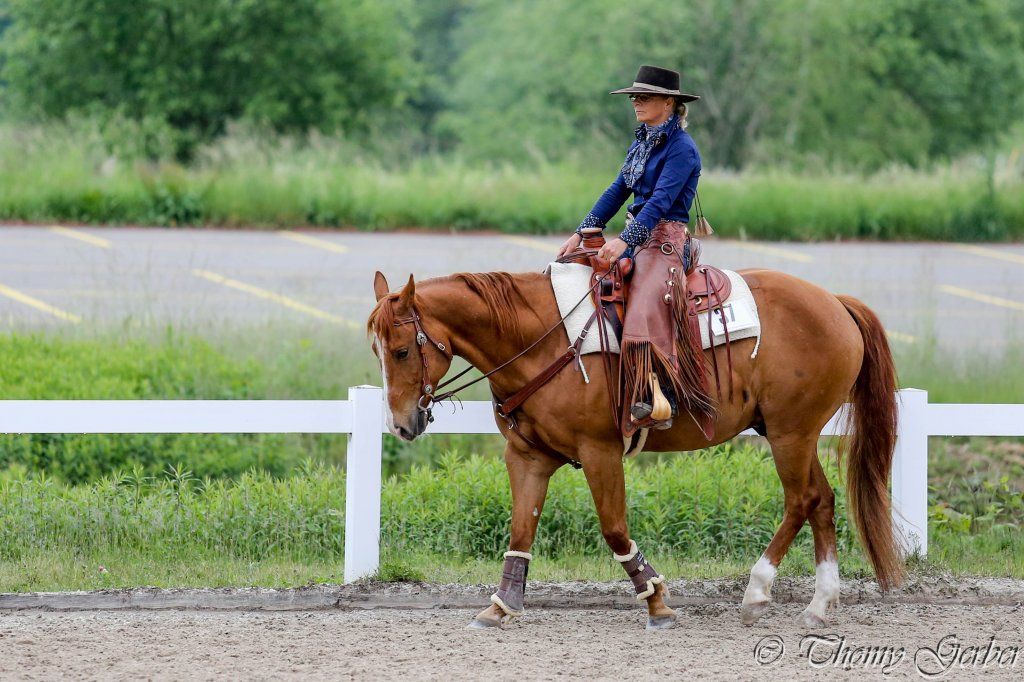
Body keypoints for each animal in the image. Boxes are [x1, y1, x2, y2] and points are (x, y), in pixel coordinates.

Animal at [367, 265, 903, 630]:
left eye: (401, 350)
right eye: (377, 351)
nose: (402, 424)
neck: (540, 340)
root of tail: (835, 302)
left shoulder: (600, 451)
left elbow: (615, 530)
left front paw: (656, 600)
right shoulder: (527, 456)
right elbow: (521, 531)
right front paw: (500, 606)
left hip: (792, 433)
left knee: (801, 500)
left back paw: (757, 591)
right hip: (790, 433)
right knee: (822, 500)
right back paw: (819, 603)